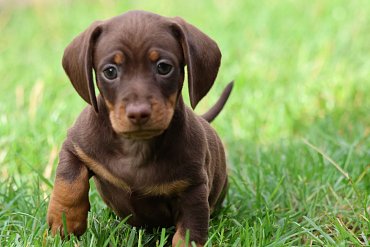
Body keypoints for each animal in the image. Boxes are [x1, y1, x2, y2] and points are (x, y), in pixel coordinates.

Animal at [45, 10, 231, 247]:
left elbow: (189, 233)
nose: (138, 113)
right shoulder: (75, 147)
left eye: (163, 67)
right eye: (110, 71)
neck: (136, 147)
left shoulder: (193, 188)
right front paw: (64, 224)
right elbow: (69, 184)